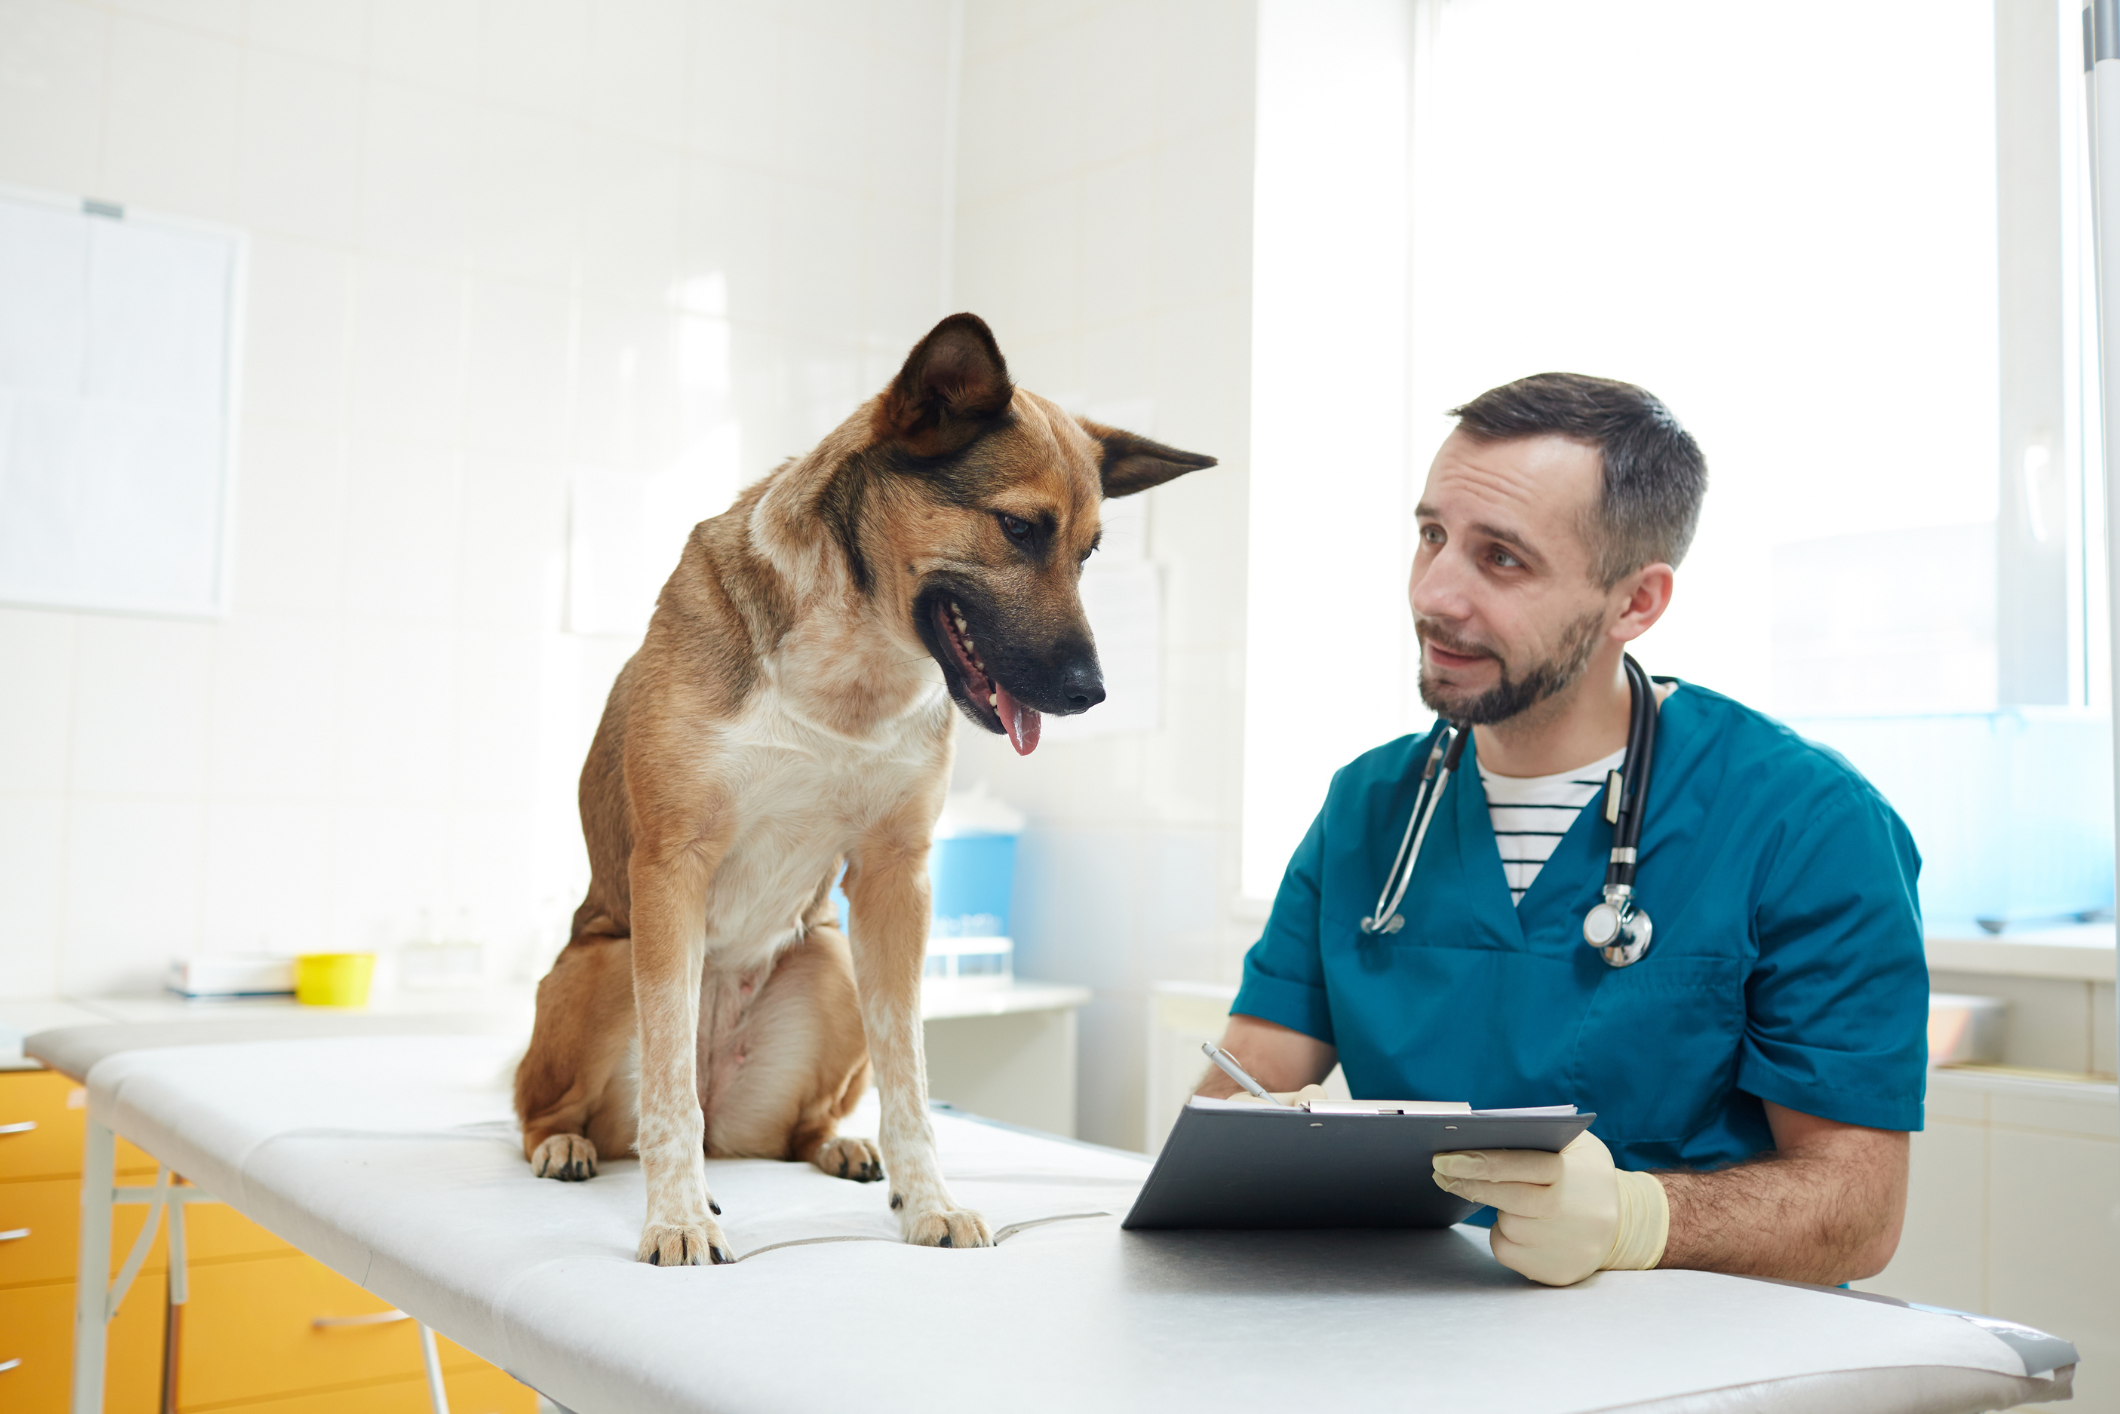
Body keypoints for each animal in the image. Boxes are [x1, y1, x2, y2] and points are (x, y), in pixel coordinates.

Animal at [508, 309, 1229, 1263]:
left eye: (1090, 551)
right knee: (556, 1107)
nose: (1091, 693)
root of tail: (733, 1123)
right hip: (604, 963)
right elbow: (668, 1091)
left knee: (793, 1128)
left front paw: (929, 1202)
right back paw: (568, 1144)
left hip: (831, 962)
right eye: (1019, 528)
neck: (851, 661)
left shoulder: (895, 880)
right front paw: (678, 1217)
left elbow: (910, 1078)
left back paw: (841, 1147)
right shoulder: (671, 867)